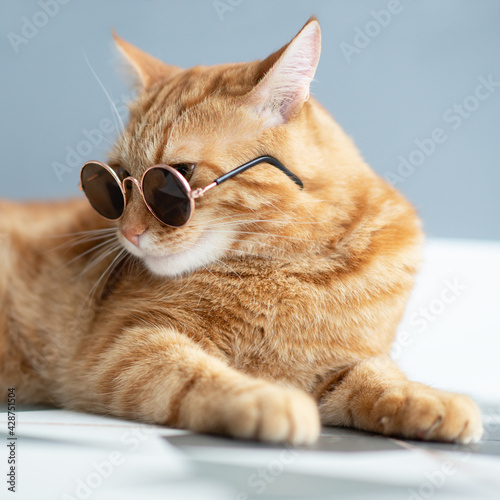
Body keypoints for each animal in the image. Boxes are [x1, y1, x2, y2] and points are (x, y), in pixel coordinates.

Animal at [0, 18, 484, 446]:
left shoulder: (338, 366)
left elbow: (378, 377)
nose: (129, 233)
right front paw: (265, 398)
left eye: (176, 177)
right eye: (115, 178)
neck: (292, 267)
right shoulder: (122, 347)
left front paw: (429, 399)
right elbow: (196, 375)